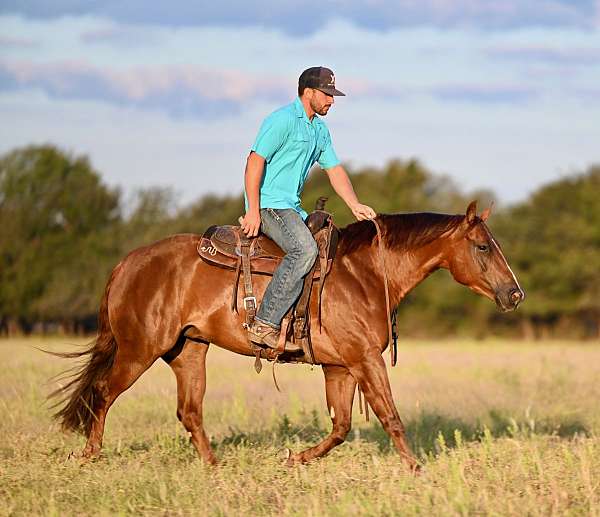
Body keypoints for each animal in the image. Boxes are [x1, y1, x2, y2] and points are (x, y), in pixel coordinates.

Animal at [55, 201, 524, 468]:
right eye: (483, 246)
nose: (514, 293)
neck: (366, 274)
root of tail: (128, 262)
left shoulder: (341, 368)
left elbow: (341, 426)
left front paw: (295, 458)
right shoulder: (365, 360)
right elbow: (390, 417)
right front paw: (415, 470)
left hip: (188, 351)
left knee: (189, 411)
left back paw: (214, 466)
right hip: (139, 350)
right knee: (102, 392)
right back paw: (90, 455)